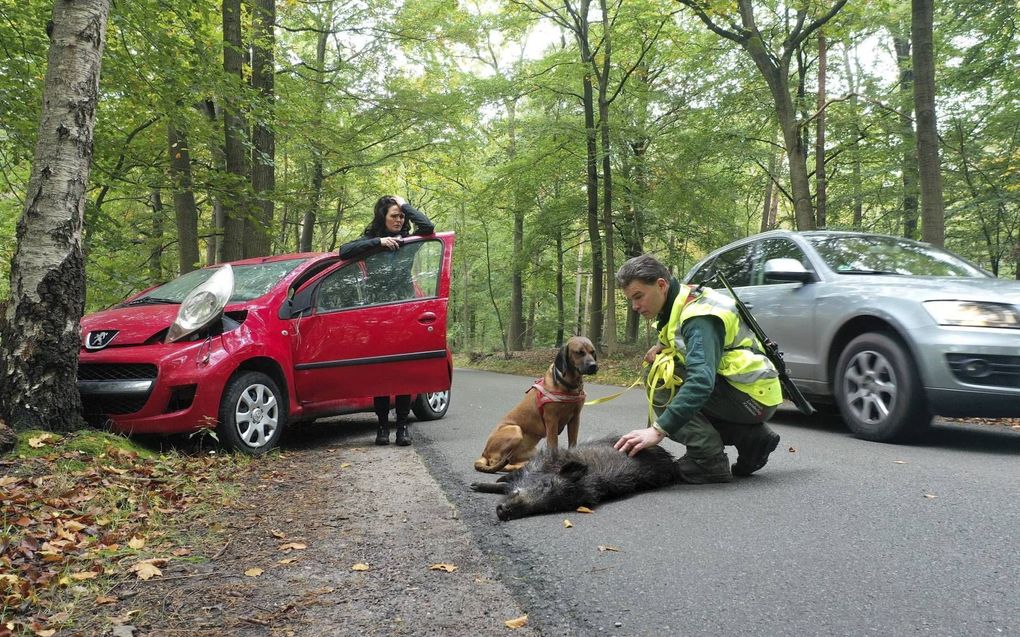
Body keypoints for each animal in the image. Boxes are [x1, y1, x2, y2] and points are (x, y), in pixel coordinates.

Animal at [475, 336, 599, 468]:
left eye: (592, 352)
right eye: (579, 352)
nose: (593, 366)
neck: (568, 385)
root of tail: (484, 452)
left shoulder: (575, 418)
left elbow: (573, 443)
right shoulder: (552, 420)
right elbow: (553, 445)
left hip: (531, 450)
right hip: (515, 430)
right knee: (498, 462)